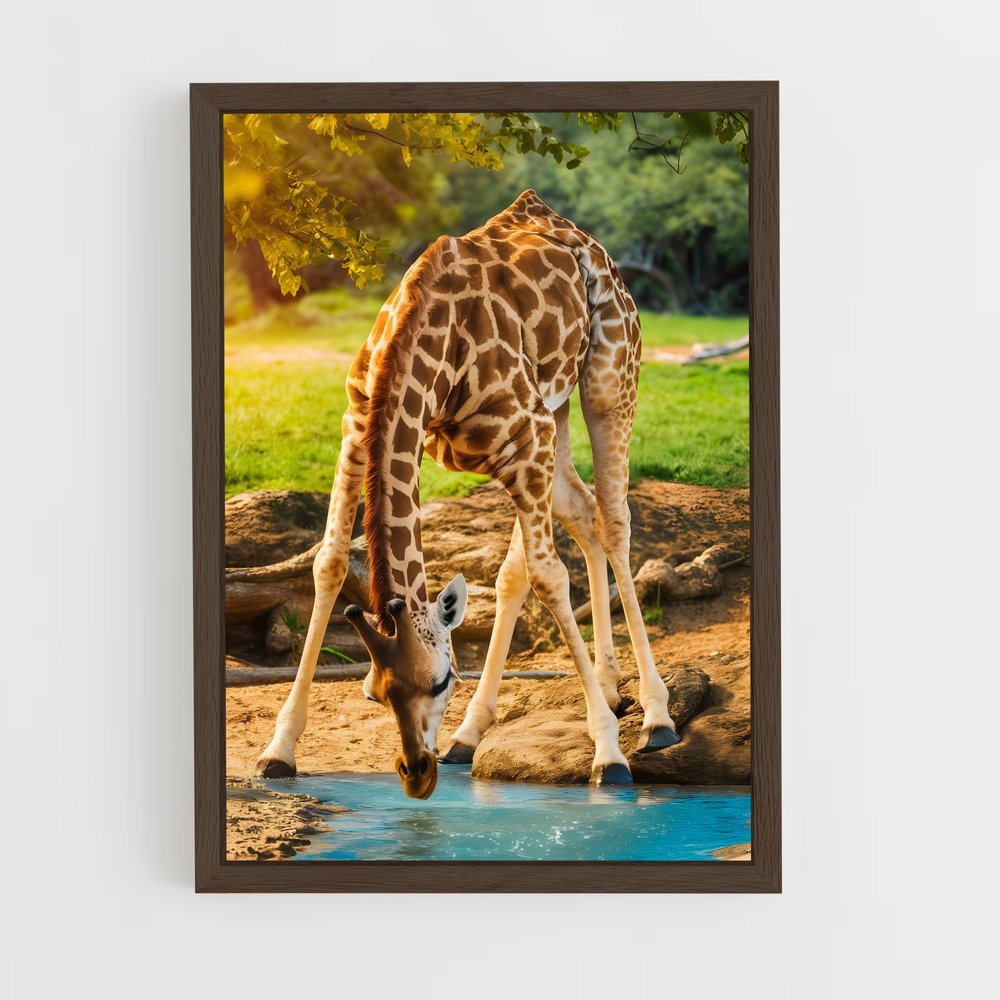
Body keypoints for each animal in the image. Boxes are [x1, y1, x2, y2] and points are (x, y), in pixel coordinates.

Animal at [255, 189, 679, 799]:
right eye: (373, 693)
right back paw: (516, 717)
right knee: (578, 517)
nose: (416, 774)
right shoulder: (359, 427)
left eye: (442, 682)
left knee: (611, 521)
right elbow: (329, 563)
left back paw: (655, 716)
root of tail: (576, 233)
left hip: (607, 381)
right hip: (553, 414)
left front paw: (608, 755)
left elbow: (550, 577)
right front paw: (279, 750)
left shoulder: (526, 438)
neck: (426, 344)